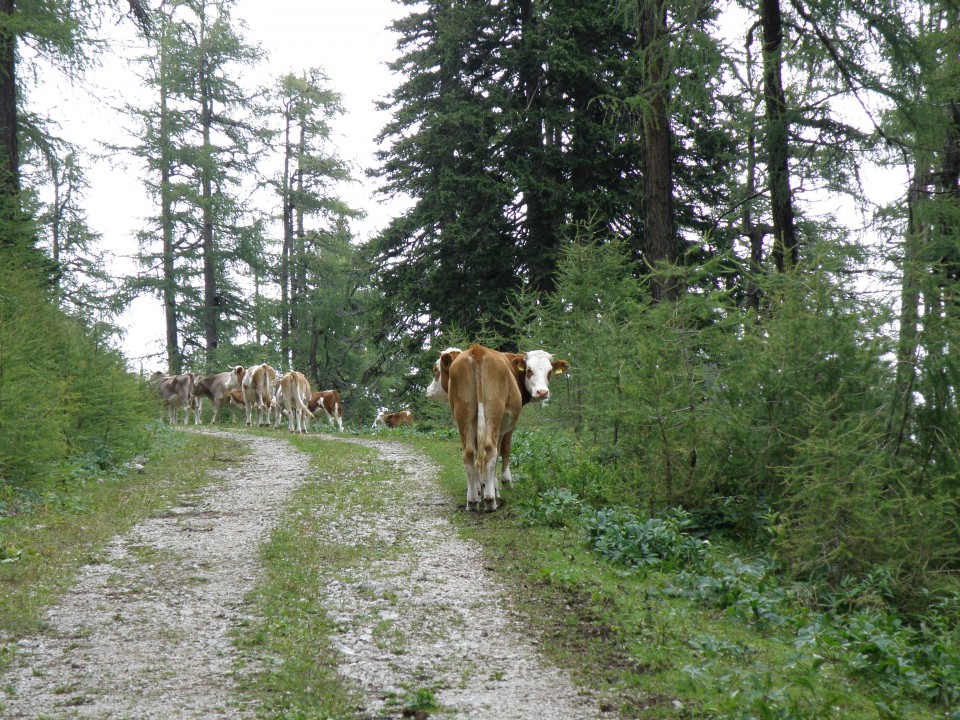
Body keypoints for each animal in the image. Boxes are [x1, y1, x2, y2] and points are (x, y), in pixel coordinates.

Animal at [444, 344, 568, 510]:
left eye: (549, 372)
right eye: (529, 370)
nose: (542, 392)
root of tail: (478, 349)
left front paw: (480, 487)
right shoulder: (507, 425)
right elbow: (504, 449)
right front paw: (502, 482)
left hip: (464, 415)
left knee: (469, 453)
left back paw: (472, 501)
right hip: (493, 415)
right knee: (490, 450)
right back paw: (490, 500)